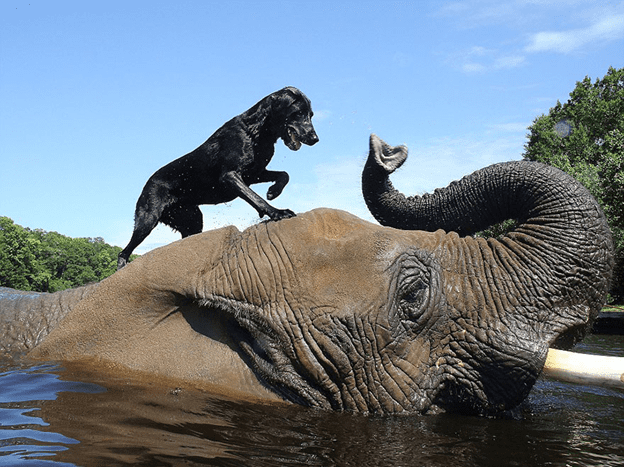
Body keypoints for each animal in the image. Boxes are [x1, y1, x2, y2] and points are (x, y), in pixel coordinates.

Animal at [117, 86, 320, 268]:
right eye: (298, 113)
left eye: (311, 115)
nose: (315, 138)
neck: (257, 131)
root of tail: (147, 183)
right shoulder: (230, 176)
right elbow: (256, 198)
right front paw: (277, 212)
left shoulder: (254, 173)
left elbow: (284, 175)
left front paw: (273, 192)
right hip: (148, 219)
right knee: (124, 252)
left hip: (193, 219)